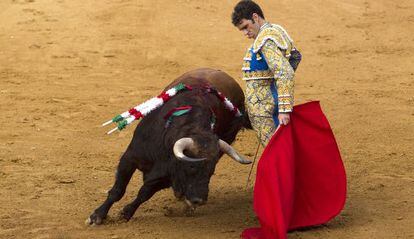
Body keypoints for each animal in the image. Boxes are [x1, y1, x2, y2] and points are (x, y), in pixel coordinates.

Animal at [87, 68, 252, 225]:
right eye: (192, 167)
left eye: (211, 170)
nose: (199, 200)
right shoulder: (130, 158)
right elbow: (118, 190)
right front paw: (97, 216)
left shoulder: (165, 176)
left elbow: (144, 193)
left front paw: (126, 213)